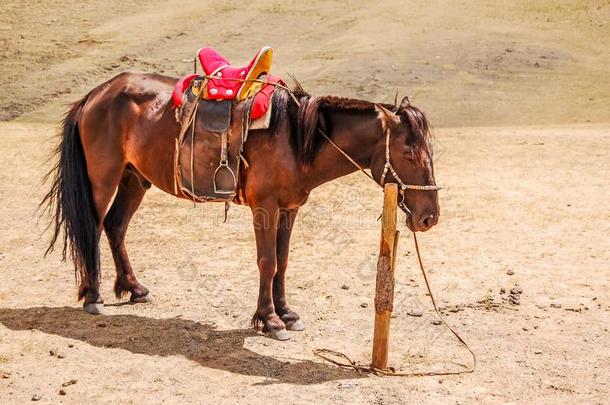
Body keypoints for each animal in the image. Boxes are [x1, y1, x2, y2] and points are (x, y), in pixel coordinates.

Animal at [42, 71, 440, 340]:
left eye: (430, 153)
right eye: (408, 153)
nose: (429, 217)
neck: (295, 138)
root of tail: (96, 93)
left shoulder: (289, 208)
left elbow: (283, 261)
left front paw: (287, 313)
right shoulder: (265, 207)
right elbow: (267, 262)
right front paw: (270, 319)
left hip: (134, 177)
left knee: (115, 226)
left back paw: (134, 288)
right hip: (104, 177)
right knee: (92, 227)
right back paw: (92, 295)